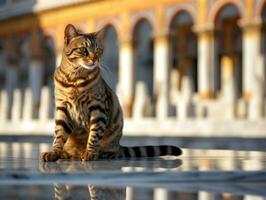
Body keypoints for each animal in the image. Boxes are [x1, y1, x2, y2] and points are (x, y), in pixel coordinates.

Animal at [39, 23, 183, 161]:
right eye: (83, 50)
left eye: (98, 51)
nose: (94, 59)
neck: (75, 78)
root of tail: (119, 145)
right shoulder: (62, 107)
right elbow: (59, 134)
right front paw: (54, 152)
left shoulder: (98, 107)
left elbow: (94, 134)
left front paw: (90, 152)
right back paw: (65, 154)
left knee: (112, 151)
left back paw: (95, 154)